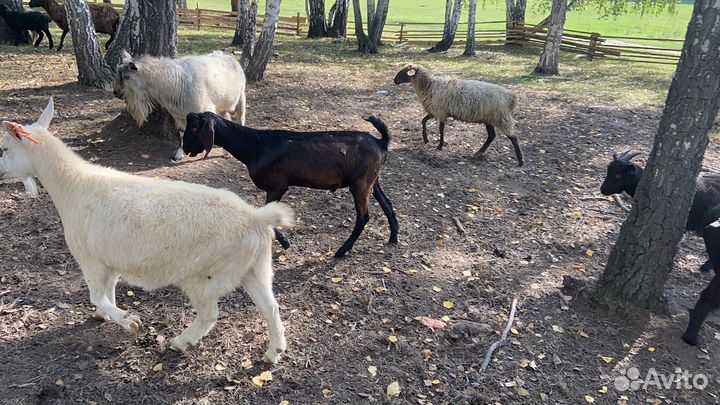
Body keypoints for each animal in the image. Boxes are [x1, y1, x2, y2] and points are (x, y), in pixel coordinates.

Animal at [0, 99, 293, 363]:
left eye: (4, 148)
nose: (0, 172)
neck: (72, 186)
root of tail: (257, 219)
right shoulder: (110, 259)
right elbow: (108, 291)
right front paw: (106, 315)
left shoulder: (89, 258)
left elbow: (96, 296)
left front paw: (129, 322)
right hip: (253, 268)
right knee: (271, 306)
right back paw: (274, 352)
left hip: (204, 275)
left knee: (210, 313)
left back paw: (180, 341)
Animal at [114, 50, 246, 162]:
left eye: (127, 76)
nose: (115, 92)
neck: (176, 81)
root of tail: (229, 57)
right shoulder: (178, 115)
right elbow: (182, 133)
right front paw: (178, 154)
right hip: (222, 105)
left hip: (241, 97)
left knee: (241, 118)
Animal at [182, 112, 400, 258]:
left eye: (194, 128)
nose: (184, 148)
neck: (255, 146)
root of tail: (381, 142)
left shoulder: (277, 186)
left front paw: (286, 243)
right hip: (372, 179)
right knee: (387, 203)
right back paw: (393, 237)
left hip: (360, 182)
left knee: (363, 216)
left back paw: (342, 250)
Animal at [393, 63, 523, 166]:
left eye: (403, 72)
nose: (394, 80)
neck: (429, 85)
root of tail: (511, 97)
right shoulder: (434, 111)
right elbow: (423, 121)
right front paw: (426, 139)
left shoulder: (441, 112)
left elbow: (441, 129)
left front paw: (440, 145)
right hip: (489, 118)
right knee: (491, 136)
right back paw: (478, 153)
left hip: (501, 117)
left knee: (513, 137)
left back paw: (520, 161)